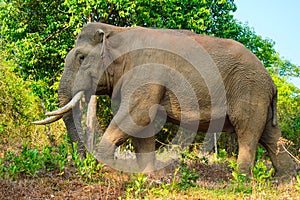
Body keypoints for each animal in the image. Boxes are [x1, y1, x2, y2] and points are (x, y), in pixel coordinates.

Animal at [33, 22, 298, 177]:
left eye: (80, 58)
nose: (81, 163)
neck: (117, 30)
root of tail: (271, 81)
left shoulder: (146, 72)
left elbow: (136, 114)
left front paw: (105, 166)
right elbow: (144, 123)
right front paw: (148, 175)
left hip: (249, 91)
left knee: (248, 132)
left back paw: (240, 180)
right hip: (258, 96)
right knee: (269, 134)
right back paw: (284, 178)